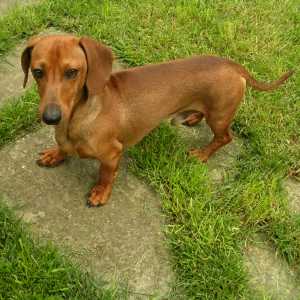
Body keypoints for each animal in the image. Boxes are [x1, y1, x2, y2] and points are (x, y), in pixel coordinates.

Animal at [21, 33, 292, 206]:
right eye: (37, 72)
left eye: (72, 72)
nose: (51, 117)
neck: (77, 117)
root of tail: (233, 65)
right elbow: (62, 148)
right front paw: (55, 154)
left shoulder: (112, 154)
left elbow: (106, 175)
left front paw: (100, 193)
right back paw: (193, 117)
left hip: (219, 117)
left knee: (224, 138)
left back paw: (202, 154)